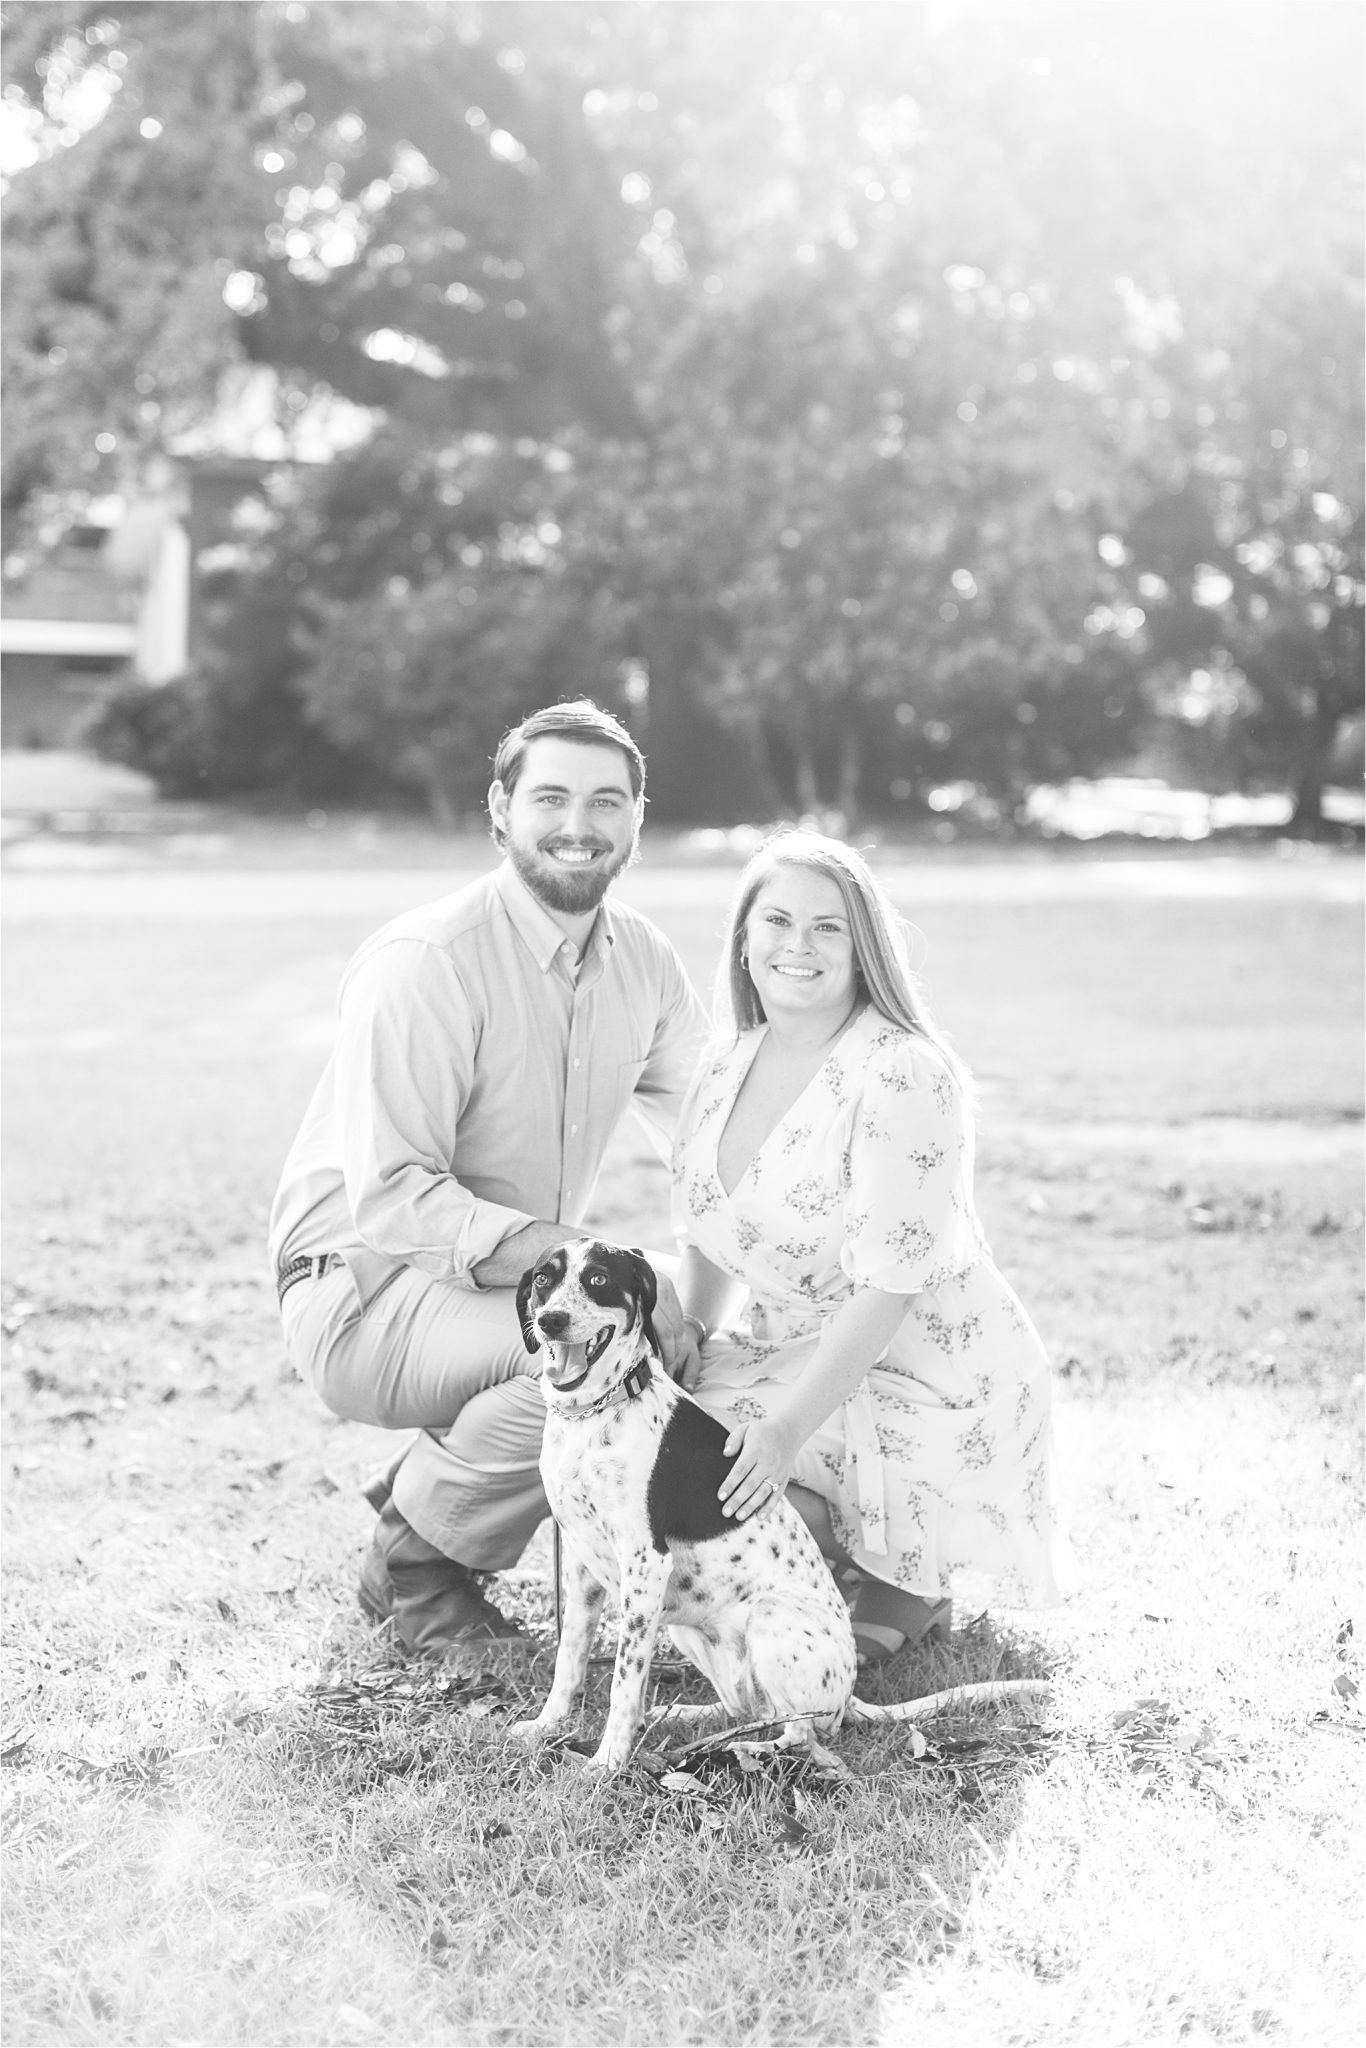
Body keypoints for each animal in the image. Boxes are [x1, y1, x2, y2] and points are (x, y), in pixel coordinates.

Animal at [507, 1228, 860, 1777]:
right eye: (543, 1279)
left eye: (599, 1279)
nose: (550, 1321)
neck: (592, 1416)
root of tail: (849, 1695)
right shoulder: (583, 1565)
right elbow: (570, 1659)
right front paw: (548, 1725)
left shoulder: (645, 1563)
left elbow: (623, 1682)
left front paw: (608, 1761)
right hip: (686, 1626)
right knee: (748, 1709)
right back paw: (688, 1717)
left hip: (765, 1619)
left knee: (801, 1735)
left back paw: (744, 1749)